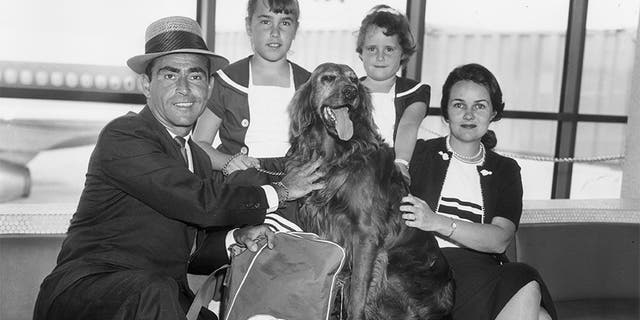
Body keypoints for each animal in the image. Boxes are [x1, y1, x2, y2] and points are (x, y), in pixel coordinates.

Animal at [284, 63, 456, 320]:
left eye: (354, 80)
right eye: (328, 78)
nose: (350, 92)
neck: (337, 154)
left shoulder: (366, 234)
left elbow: (357, 294)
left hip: (396, 265)